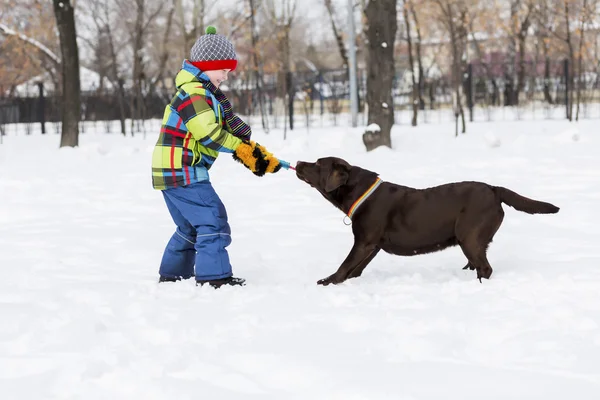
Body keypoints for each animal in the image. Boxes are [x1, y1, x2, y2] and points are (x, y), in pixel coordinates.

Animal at [296, 156, 556, 284]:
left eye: (317, 163)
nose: (298, 163)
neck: (360, 192)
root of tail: (494, 189)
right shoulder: (372, 245)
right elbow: (355, 269)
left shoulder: (363, 242)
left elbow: (345, 265)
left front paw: (328, 281)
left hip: (469, 236)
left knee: (485, 268)